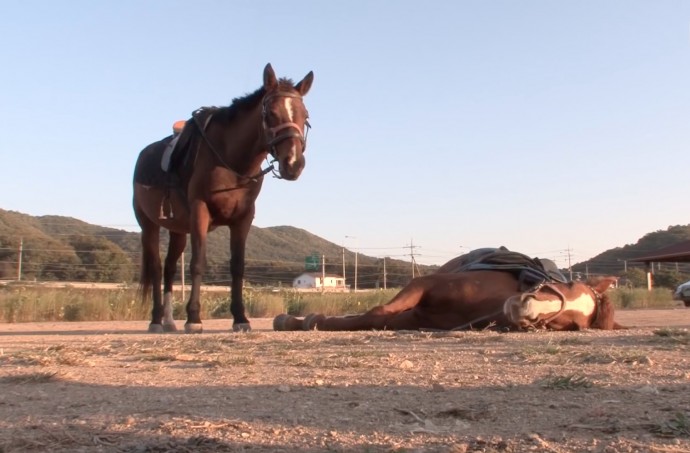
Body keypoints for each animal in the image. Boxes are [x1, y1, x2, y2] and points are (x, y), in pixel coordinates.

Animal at [133, 64, 314, 334]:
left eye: (305, 116)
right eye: (270, 114)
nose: (293, 163)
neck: (231, 159)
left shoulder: (243, 218)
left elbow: (237, 267)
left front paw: (240, 317)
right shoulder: (200, 211)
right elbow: (198, 263)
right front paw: (194, 318)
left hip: (177, 230)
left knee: (168, 268)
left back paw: (168, 321)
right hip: (149, 225)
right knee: (155, 268)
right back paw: (156, 320)